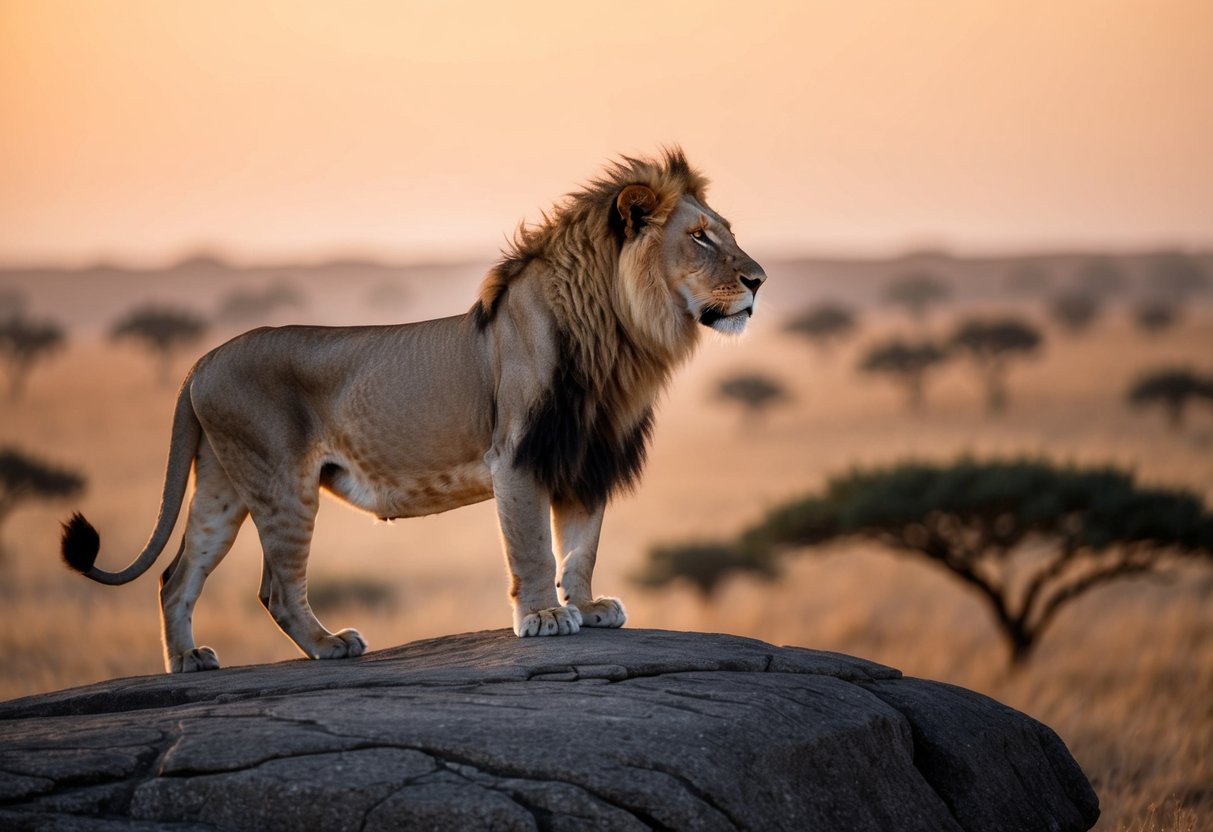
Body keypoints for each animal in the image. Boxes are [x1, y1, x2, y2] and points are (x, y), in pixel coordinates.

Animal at [60, 148, 767, 673]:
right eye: (701, 238)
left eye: (727, 233)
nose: (758, 280)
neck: (618, 336)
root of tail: (200, 361)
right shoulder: (518, 456)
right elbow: (535, 549)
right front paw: (543, 617)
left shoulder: (585, 458)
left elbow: (581, 548)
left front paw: (589, 606)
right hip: (280, 481)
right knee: (276, 587)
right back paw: (331, 646)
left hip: (223, 483)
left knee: (176, 576)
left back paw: (188, 662)